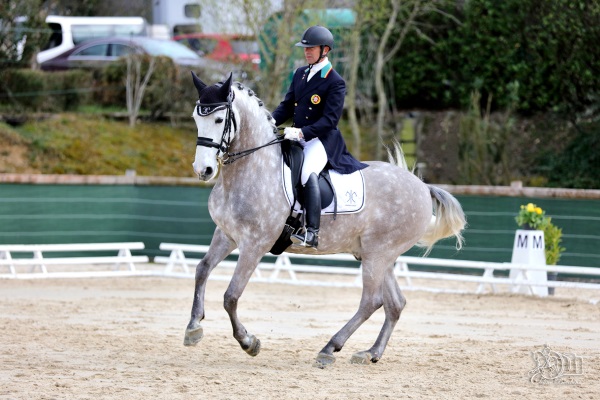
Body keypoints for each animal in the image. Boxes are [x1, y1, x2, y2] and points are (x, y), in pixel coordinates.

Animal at [185, 72, 466, 368]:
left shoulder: (255, 244)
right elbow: (202, 270)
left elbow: (231, 296)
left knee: (370, 301)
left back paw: (330, 348)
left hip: (378, 254)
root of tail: (422, 186)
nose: (204, 170)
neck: (252, 168)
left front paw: (249, 342)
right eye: (196, 118)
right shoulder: (225, 234)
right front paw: (193, 327)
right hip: (379, 256)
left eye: (219, 120)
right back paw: (370, 353)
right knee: (394, 304)